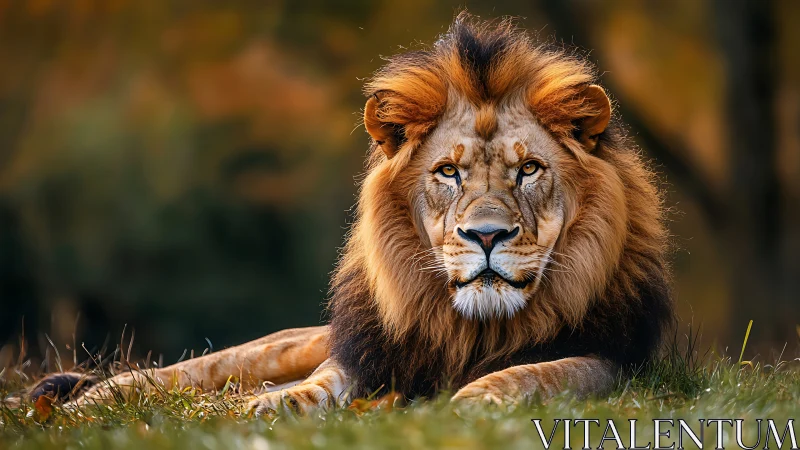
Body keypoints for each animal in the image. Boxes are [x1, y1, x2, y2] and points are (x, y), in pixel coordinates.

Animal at [23, 14, 673, 413]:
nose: (485, 235)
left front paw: (473, 400)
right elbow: (322, 382)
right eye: (448, 172)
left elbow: (537, 373)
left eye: (529, 169)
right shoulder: (367, 354)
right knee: (181, 372)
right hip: (279, 347)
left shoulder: (617, 362)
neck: (473, 326)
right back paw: (72, 404)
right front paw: (275, 405)